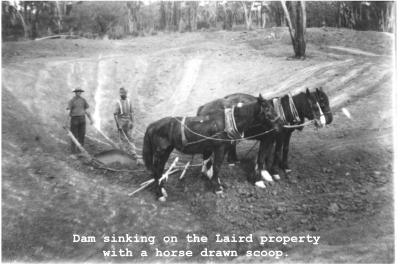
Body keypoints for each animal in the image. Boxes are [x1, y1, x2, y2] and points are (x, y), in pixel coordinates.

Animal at [143, 95, 282, 200]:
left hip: (166, 151)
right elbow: (216, 167)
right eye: (267, 109)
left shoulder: (221, 149)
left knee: (158, 171)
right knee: (157, 171)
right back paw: (160, 194)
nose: (281, 123)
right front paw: (217, 188)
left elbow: (214, 166)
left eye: (273, 107)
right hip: (161, 152)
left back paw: (162, 190)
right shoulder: (219, 148)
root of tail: (152, 125)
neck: (226, 122)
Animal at [196, 87, 332, 185]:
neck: (283, 112)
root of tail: (203, 107)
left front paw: (278, 168)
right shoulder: (275, 137)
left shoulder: (279, 136)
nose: (326, 121)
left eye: (322, 104)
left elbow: (277, 151)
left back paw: (231, 161)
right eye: (317, 106)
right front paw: (268, 174)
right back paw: (210, 172)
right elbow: (271, 153)